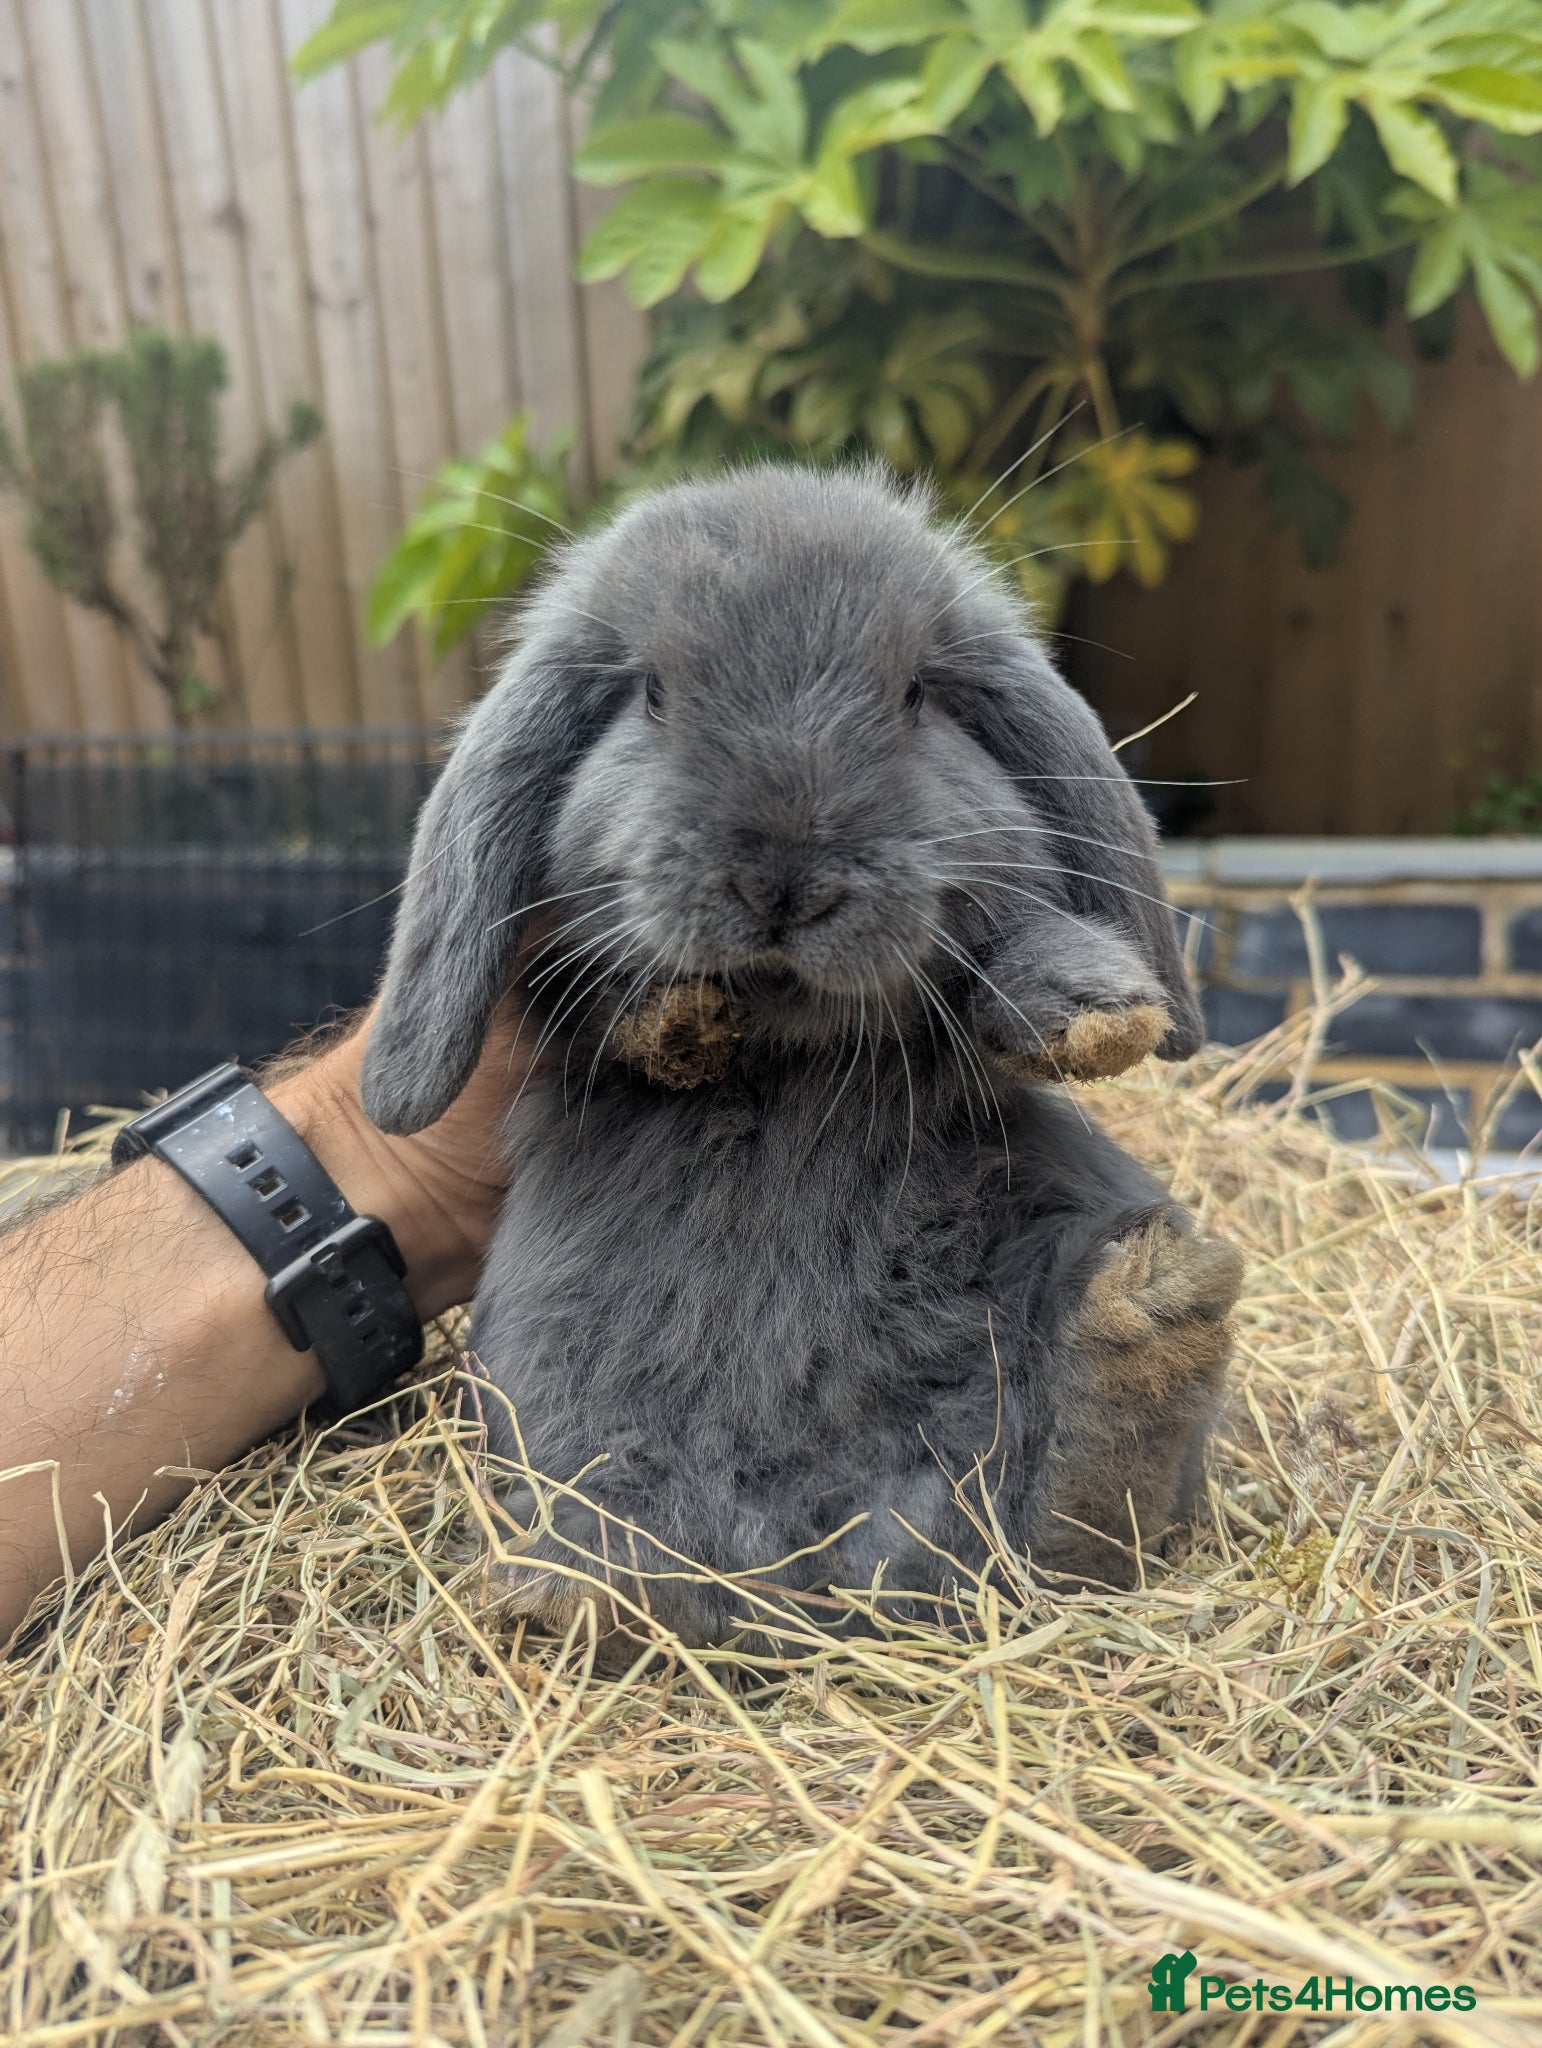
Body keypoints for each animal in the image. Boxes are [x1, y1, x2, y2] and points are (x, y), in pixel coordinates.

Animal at [362, 462, 1243, 1646]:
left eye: (917, 695)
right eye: (651, 694)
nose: (784, 883)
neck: (791, 1053)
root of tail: (809, 1568)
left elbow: (1013, 947)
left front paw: (1098, 1011)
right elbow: (612, 998)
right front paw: (678, 1024)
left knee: (1067, 1518)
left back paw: (1147, 1313)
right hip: (573, 1401)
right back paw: (556, 1593)